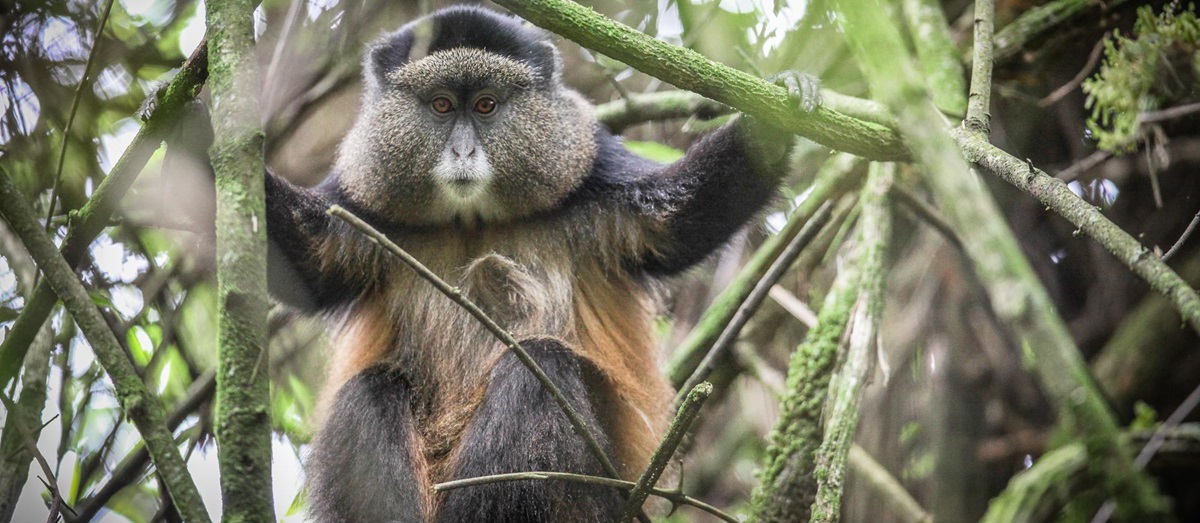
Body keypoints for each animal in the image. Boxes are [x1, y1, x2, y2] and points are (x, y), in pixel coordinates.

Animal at [264, 6, 819, 522]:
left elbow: (681, 222)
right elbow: (305, 267)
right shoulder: (361, 205)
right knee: (371, 389)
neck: (472, 219)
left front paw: (774, 118)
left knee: (541, 364)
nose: (462, 150)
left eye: (486, 105)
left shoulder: (594, 172)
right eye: (441, 105)